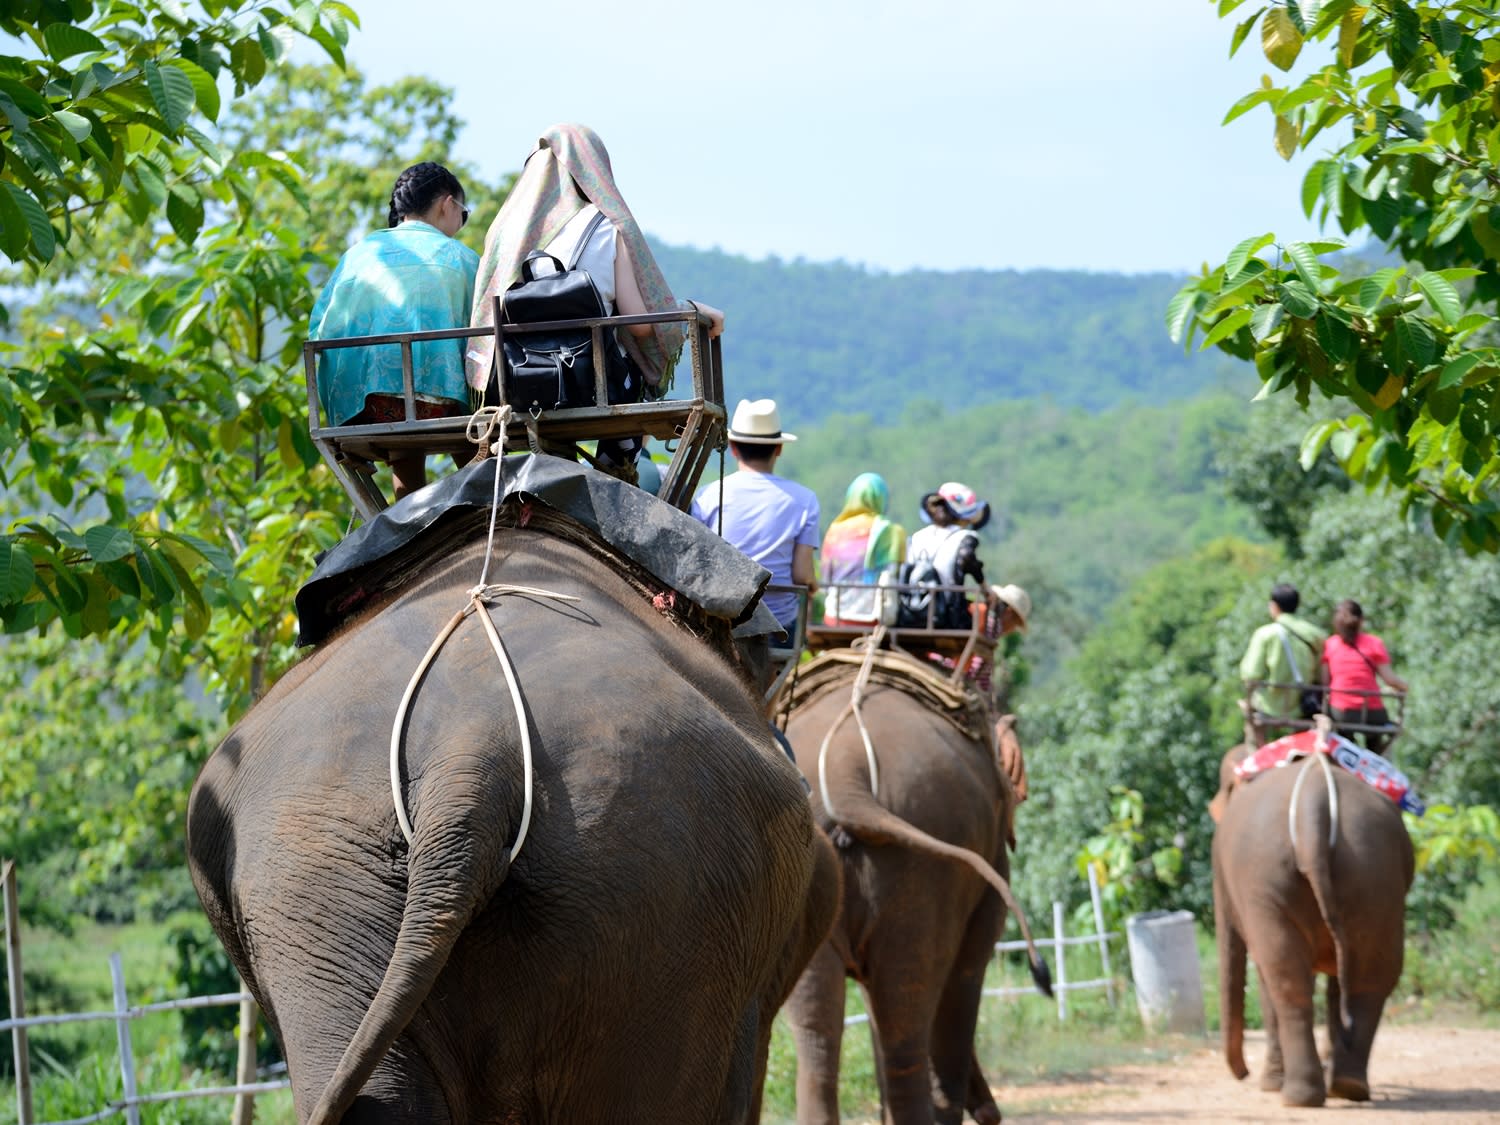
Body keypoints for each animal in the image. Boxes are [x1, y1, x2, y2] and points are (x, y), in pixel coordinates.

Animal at [780, 651, 1050, 1125]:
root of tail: (846, 776)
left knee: (819, 1030)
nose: (992, 1112)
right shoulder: (989, 865)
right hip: (926, 859)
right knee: (907, 1018)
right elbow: (968, 970)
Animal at [1212, 744, 1410, 1104]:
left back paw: (1298, 1095)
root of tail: (1312, 806)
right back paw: (1347, 1087)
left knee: (1284, 978)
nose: (1242, 1073)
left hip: (1270, 882)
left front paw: (1270, 1084)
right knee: (1370, 978)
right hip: (1374, 873)